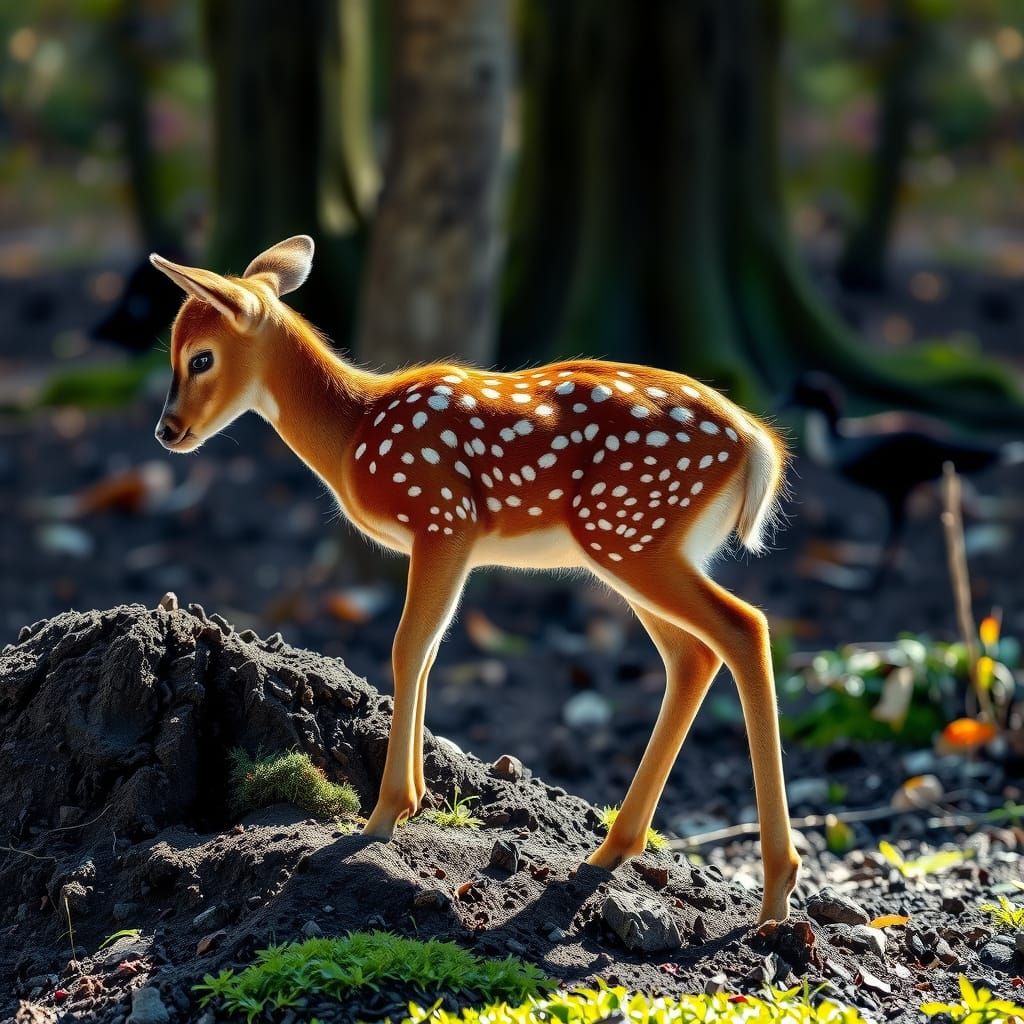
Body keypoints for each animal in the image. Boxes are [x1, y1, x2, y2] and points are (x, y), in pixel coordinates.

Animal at [151, 235, 800, 923]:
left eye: (199, 357)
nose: (167, 431)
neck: (355, 431)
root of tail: (758, 445)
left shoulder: (442, 516)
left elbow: (407, 645)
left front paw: (383, 815)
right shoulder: (452, 542)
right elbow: (430, 649)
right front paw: (412, 800)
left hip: (628, 529)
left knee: (744, 626)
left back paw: (775, 893)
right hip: (636, 543)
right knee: (692, 656)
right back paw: (613, 850)